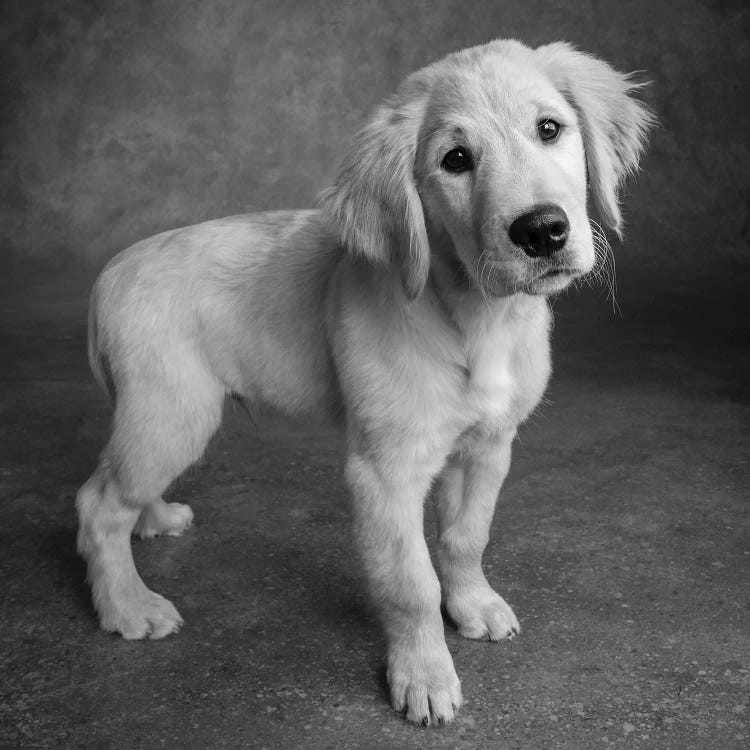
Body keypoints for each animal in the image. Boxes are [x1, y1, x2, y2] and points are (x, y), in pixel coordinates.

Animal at [75, 39, 652, 728]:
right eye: (456, 160)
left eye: (549, 129)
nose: (541, 230)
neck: (475, 317)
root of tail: (109, 272)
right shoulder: (384, 471)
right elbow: (409, 584)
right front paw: (424, 677)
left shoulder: (488, 447)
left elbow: (465, 538)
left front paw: (474, 605)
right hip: (172, 412)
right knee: (99, 503)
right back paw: (128, 606)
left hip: (160, 417)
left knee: (122, 484)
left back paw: (156, 518)